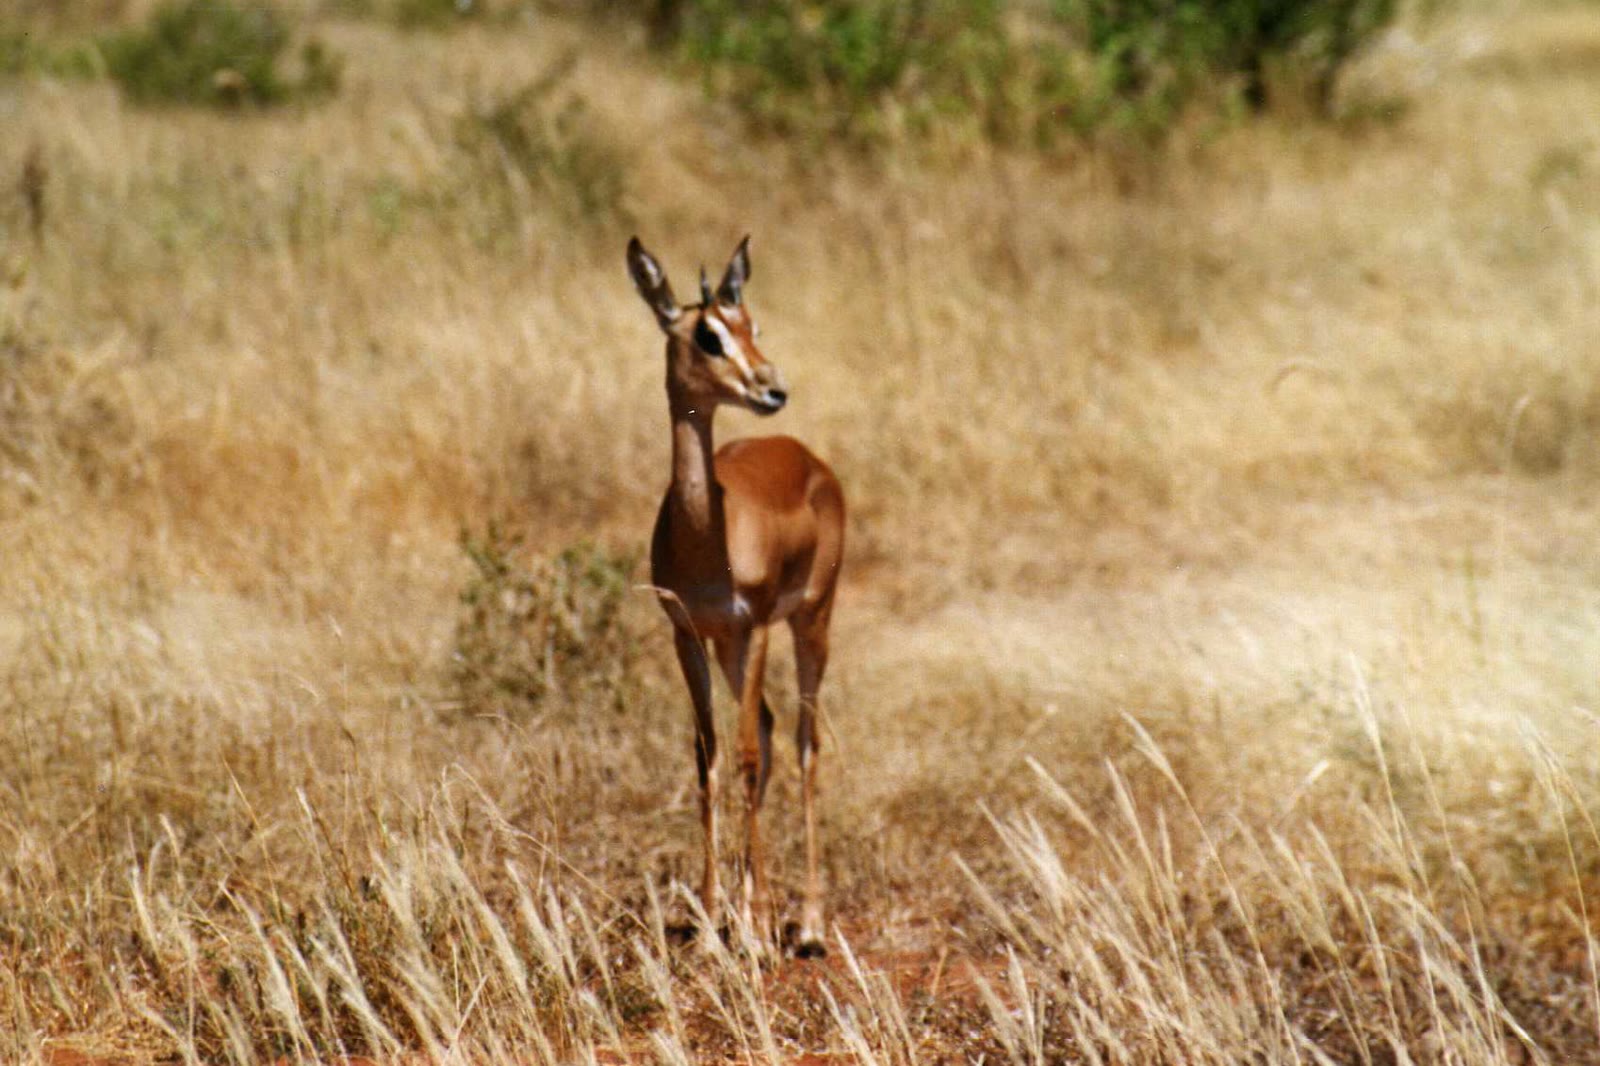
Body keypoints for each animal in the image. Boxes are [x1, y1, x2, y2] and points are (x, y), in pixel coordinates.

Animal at [627, 235, 845, 958]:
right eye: (708, 335)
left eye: (754, 325)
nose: (772, 387)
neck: (705, 536)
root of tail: (803, 454)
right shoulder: (688, 634)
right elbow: (708, 757)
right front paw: (711, 913)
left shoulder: (755, 627)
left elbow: (747, 756)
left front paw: (751, 925)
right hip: (730, 647)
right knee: (774, 730)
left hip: (810, 623)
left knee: (803, 741)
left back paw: (807, 923)